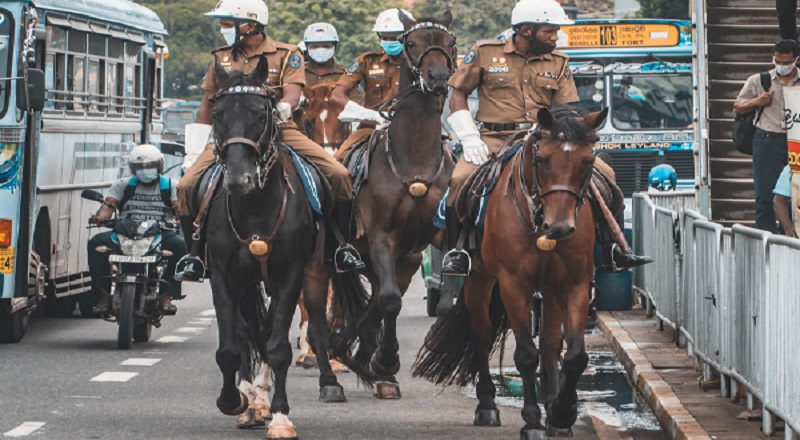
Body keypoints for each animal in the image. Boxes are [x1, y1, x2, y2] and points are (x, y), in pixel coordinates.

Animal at [197, 55, 346, 440]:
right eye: (218, 113)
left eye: (261, 113)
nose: (238, 179)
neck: (256, 206)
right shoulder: (224, 276)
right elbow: (231, 346)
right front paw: (236, 400)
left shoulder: (290, 273)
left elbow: (277, 346)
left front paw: (280, 416)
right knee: (249, 331)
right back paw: (252, 399)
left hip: (308, 271)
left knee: (301, 322)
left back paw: (322, 383)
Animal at [412, 105, 608, 436]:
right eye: (542, 159)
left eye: (588, 160)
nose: (559, 227)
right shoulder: (514, 284)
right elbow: (526, 355)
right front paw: (532, 421)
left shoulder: (574, 284)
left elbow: (574, 355)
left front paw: (561, 414)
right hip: (479, 279)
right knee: (481, 334)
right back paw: (487, 406)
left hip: (549, 289)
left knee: (550, 344)